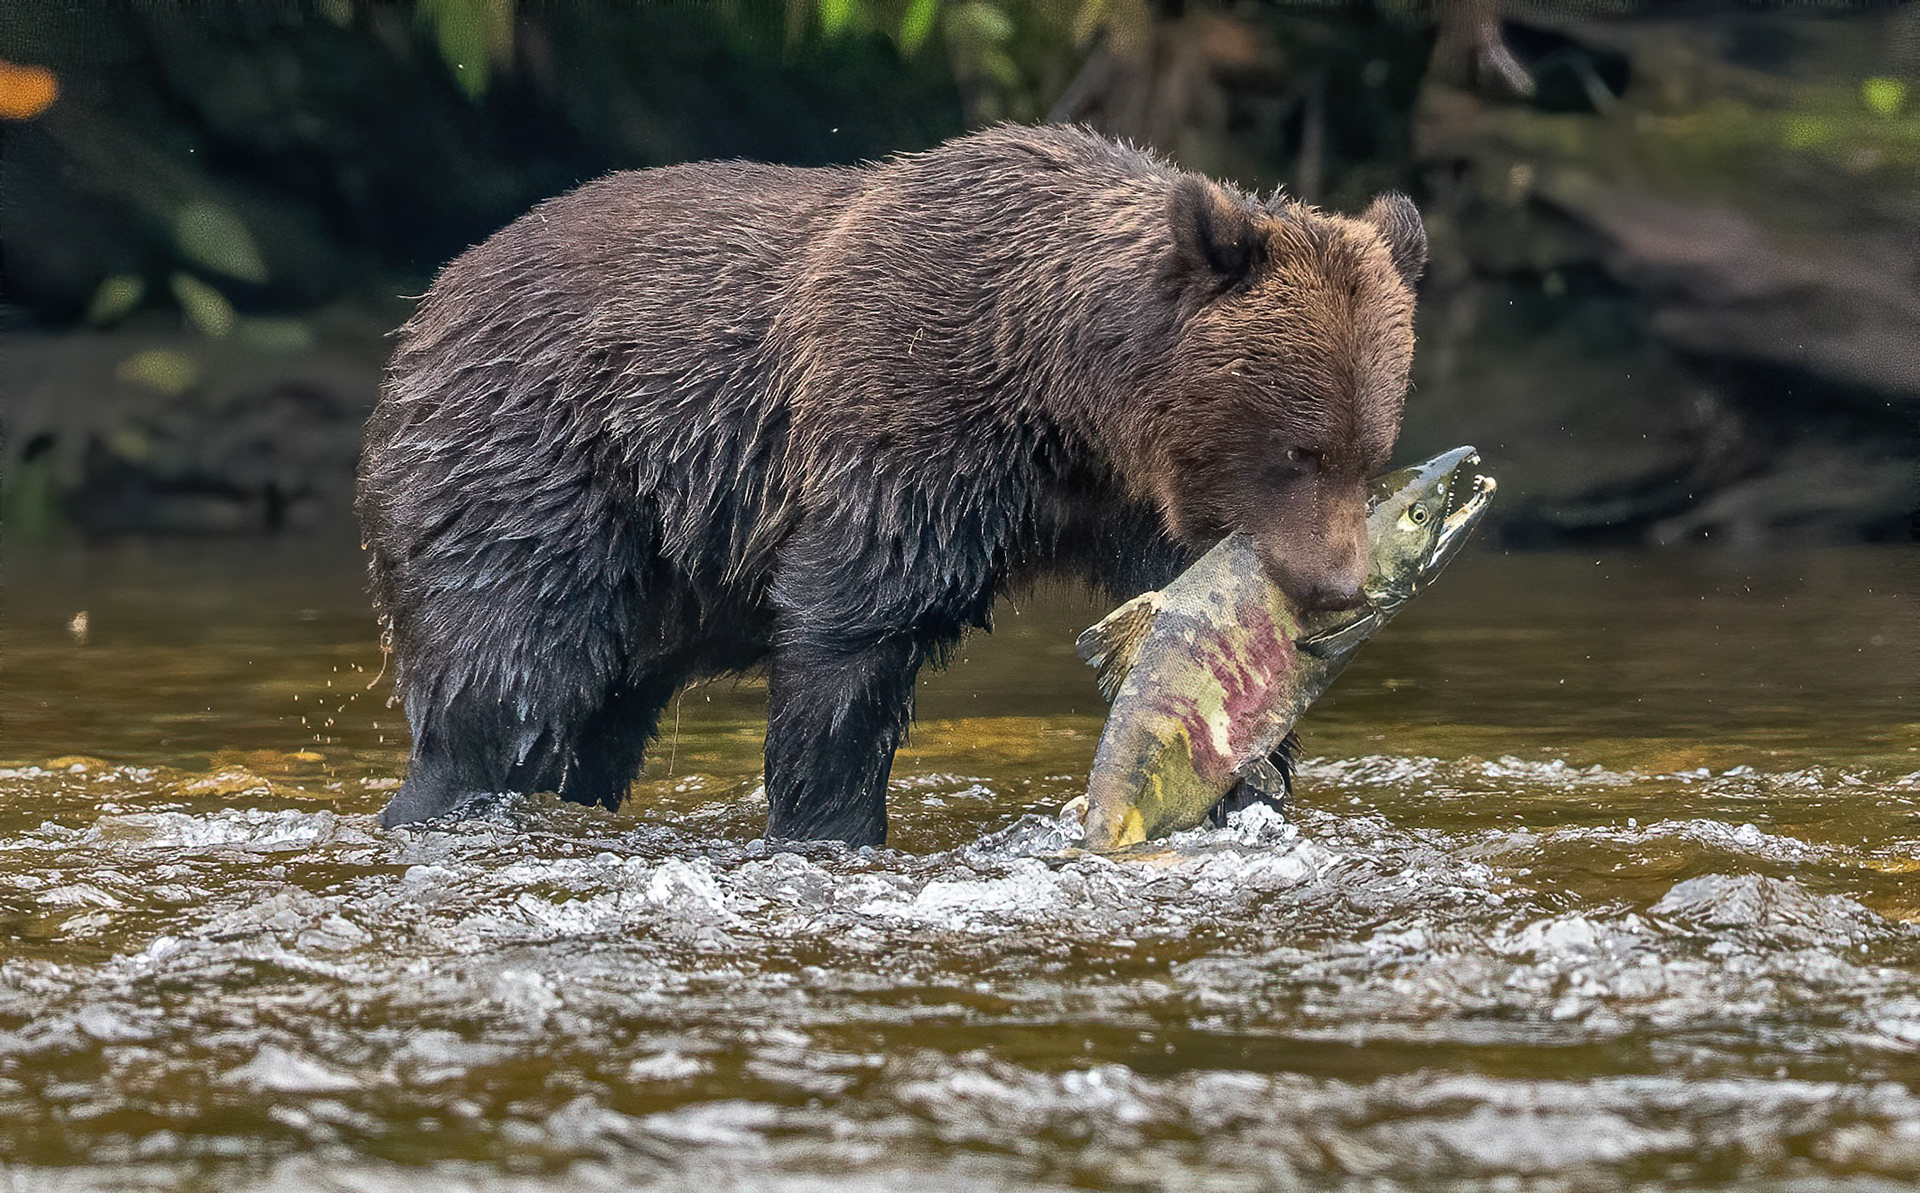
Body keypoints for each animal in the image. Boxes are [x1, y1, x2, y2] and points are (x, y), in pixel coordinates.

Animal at [355, 123, 1427, 846]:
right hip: (538, 470)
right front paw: (825, 822)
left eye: (1368, 448)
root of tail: (424, 307)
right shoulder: (910, 413)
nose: (1338, 586)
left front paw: (1244, 779)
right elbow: (852, 628)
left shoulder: (1121, 504)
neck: (1062, 393)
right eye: (1297, 451)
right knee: (511, 677)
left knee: (598, 716)